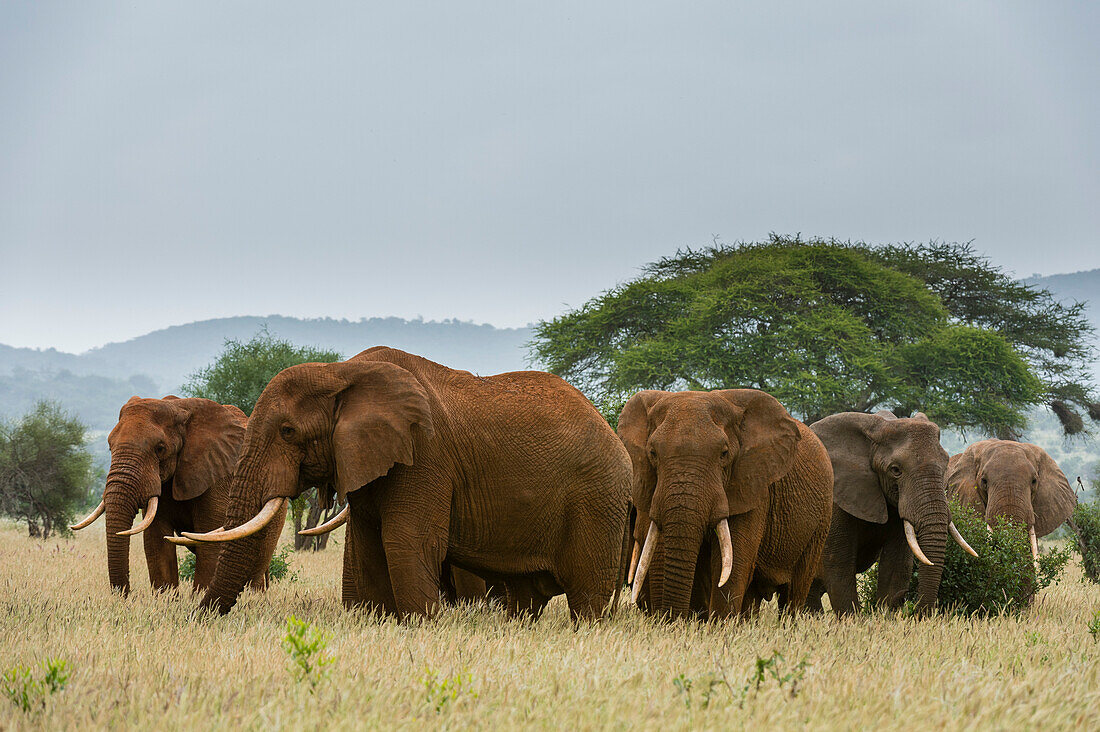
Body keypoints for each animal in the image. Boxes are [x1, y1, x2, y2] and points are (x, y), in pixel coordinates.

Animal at [68, 396, 283, 590]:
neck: (178, 407)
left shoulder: (216, 476)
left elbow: (210, 544)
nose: (126, 595)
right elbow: (156, 542)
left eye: (160, 448)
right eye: (109, 446)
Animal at [183, 347, 624, 616]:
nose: (197, 617)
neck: (342, 372)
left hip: (598, 498)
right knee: (525, 597)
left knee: (588, 598)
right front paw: (379, 621)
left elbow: (406, 540)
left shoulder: (423, 454)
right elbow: (370, 544)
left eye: (288, 432)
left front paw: (421, 627)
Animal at [624, 387, 827, 616]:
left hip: (819, 525)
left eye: (724, 453)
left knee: (794, 593)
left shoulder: (753, 485)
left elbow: (734, 564)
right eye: (652, 453)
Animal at [805, 407, 976, 612]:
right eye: (895, 470)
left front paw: (885, 612)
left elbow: (896, 565)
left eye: (945, 465)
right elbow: (838, 565)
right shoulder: (836, 498)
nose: (905, 599)